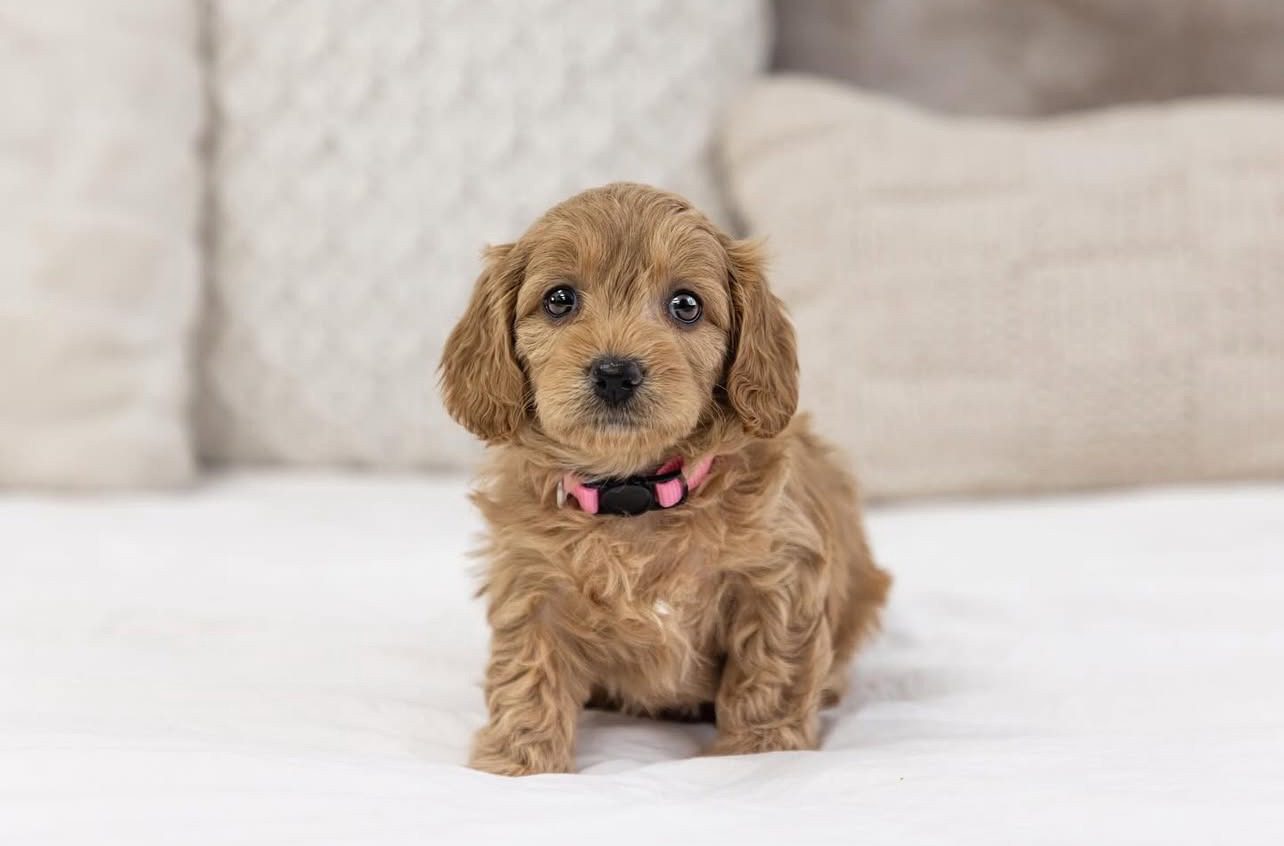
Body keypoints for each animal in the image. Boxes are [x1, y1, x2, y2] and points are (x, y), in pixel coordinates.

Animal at [440, 182, 890, 776]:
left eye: (686, 305)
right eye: (559, 299)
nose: (615, 372)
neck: (635, 491)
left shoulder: (777, 576)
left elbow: (770, 669)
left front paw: (760, 750)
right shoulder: (533, 581)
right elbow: (527, 672)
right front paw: (519, 760)